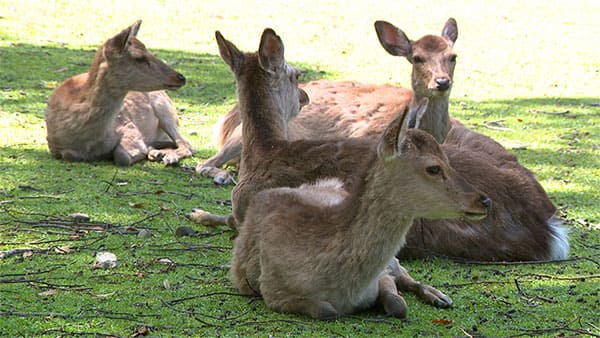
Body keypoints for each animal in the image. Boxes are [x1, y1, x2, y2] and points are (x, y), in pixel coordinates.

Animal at [45, 20, 193, 166]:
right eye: (139, 57)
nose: (180, 77)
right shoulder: (54, 146)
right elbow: (69, 154)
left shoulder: (129, 127)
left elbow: (122, 157)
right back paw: (156, 152)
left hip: (165, 109)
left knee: (186, 144)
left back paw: (168, 157)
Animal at [192, 17, 568, 262]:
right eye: (296, 74)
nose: (304, 96)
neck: (263, 152)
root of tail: (550, 231)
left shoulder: (247, 209)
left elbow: (229, 219)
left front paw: (198, 213)